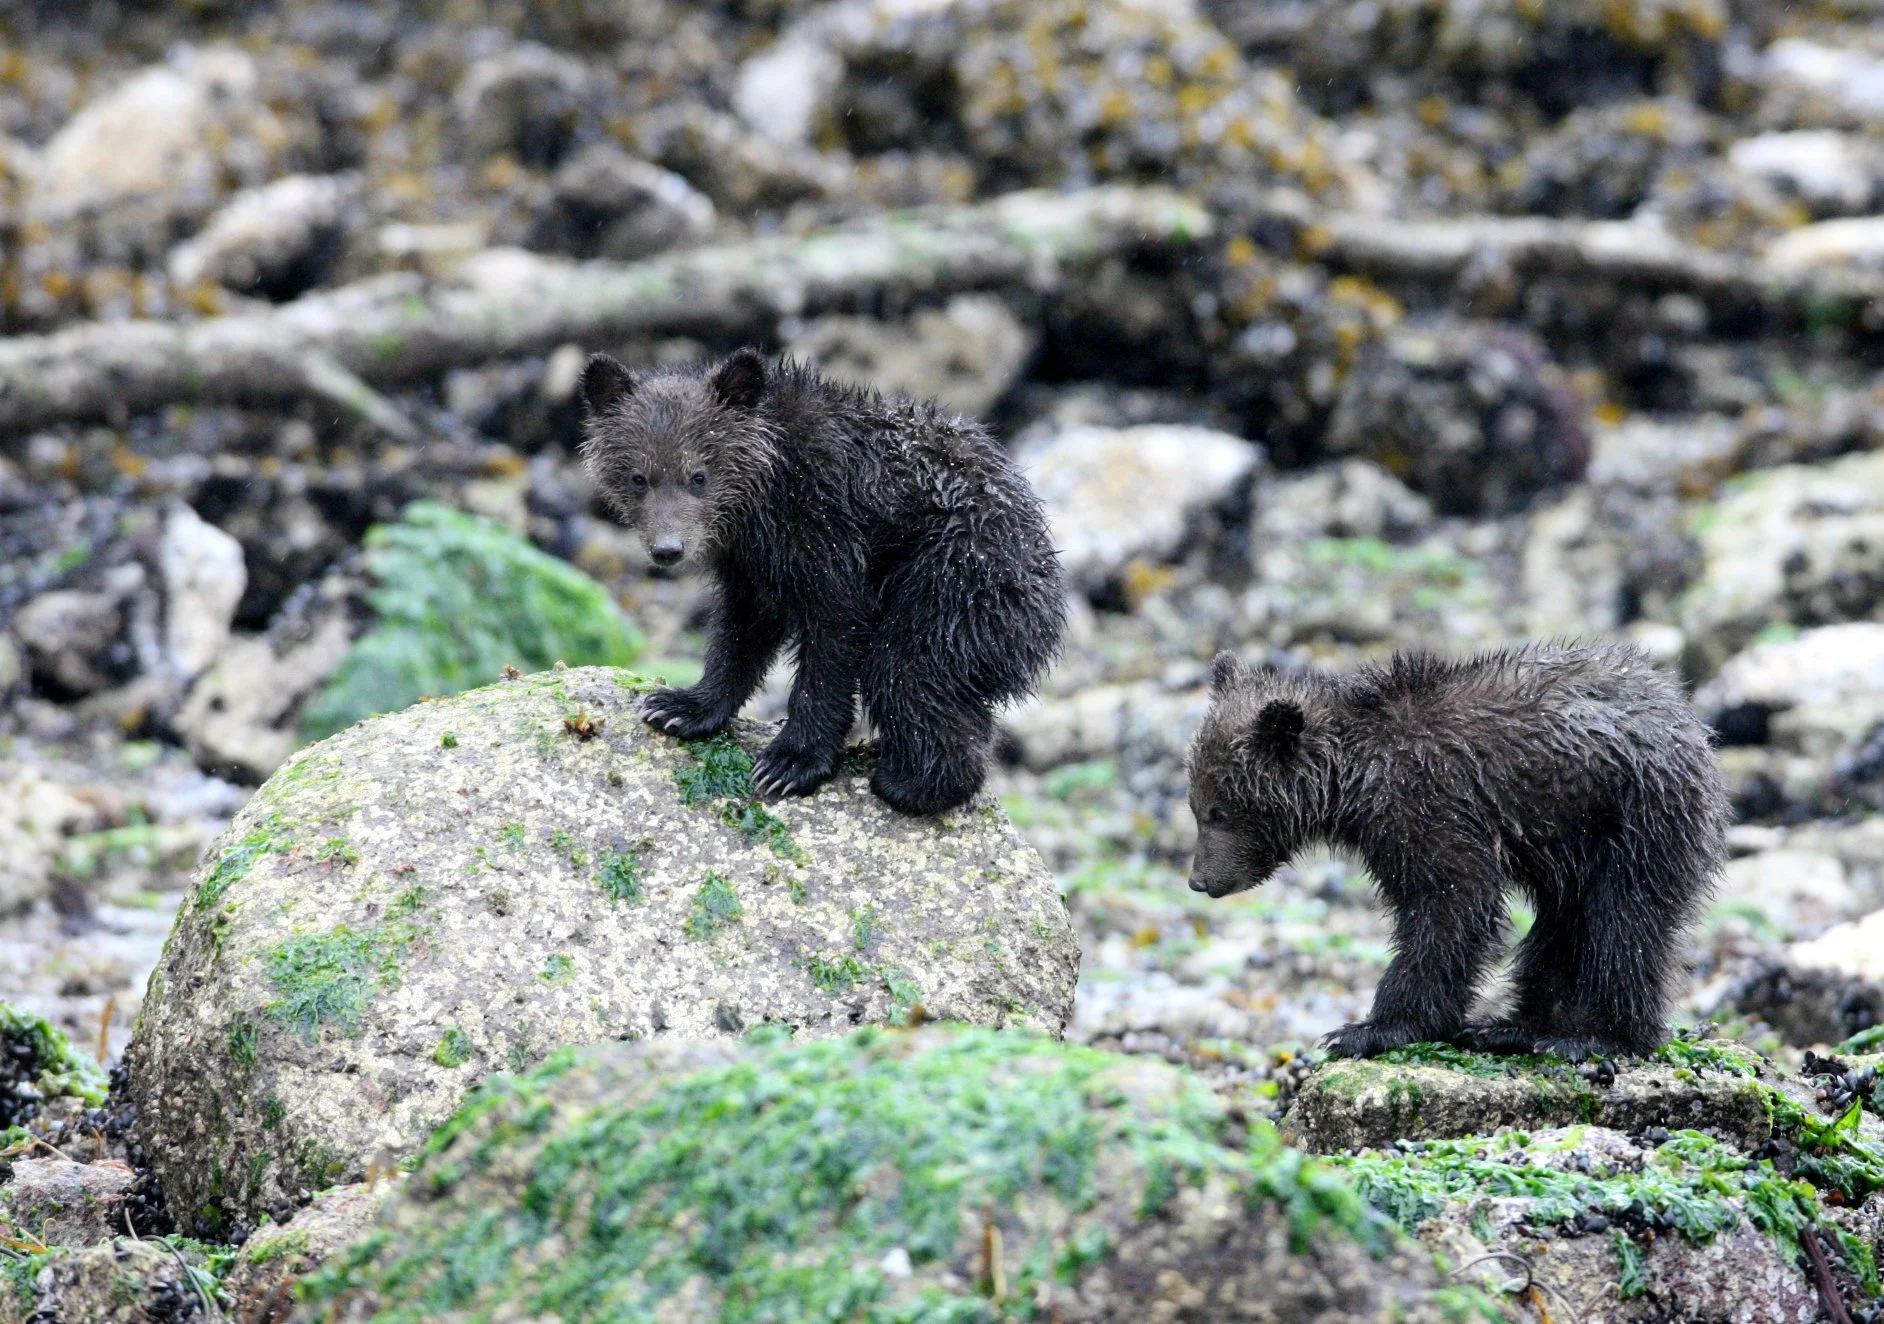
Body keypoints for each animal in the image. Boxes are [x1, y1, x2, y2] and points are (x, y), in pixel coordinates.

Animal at [579, 347, 1065, 815]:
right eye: (639, 477)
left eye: (698, 475)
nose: (668, 549)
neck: (766, 490)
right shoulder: (751, 560)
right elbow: (743, 629)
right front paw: (680, 706)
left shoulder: (825, 527)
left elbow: (834, 634)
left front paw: (790, 763)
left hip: (954, 581)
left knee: (906, 667)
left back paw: (911, 786)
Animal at [1186, 643, 1728, 1060]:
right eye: (1195, 805)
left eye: (1219, 811)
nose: (1200, 880)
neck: (1352, 778)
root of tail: (1694, 727)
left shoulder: (1425, 802)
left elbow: (1451, 898)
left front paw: (1369, 1029)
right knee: (1563, 925)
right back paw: (1515, 1027)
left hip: (1636, 816)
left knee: (1624, 919)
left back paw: (1596, 1037)